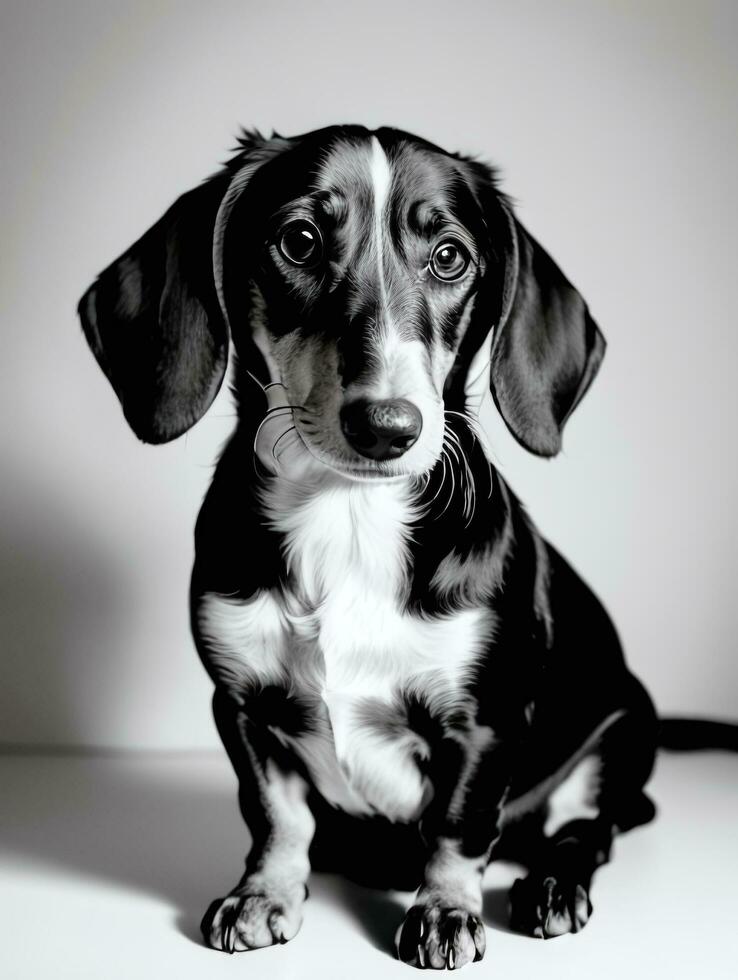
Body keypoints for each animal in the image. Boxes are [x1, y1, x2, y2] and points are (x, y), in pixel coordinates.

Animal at [76, 126, 668, 968]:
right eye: (298, 240)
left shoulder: (483, 722)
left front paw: (445, 911)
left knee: (588, 831)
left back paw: (552, 883)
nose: (388, 427)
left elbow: (458, 826)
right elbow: (277, 816)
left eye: (449, 257)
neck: (347, 518)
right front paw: (264, 894)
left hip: (621, 729)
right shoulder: (242, 705)